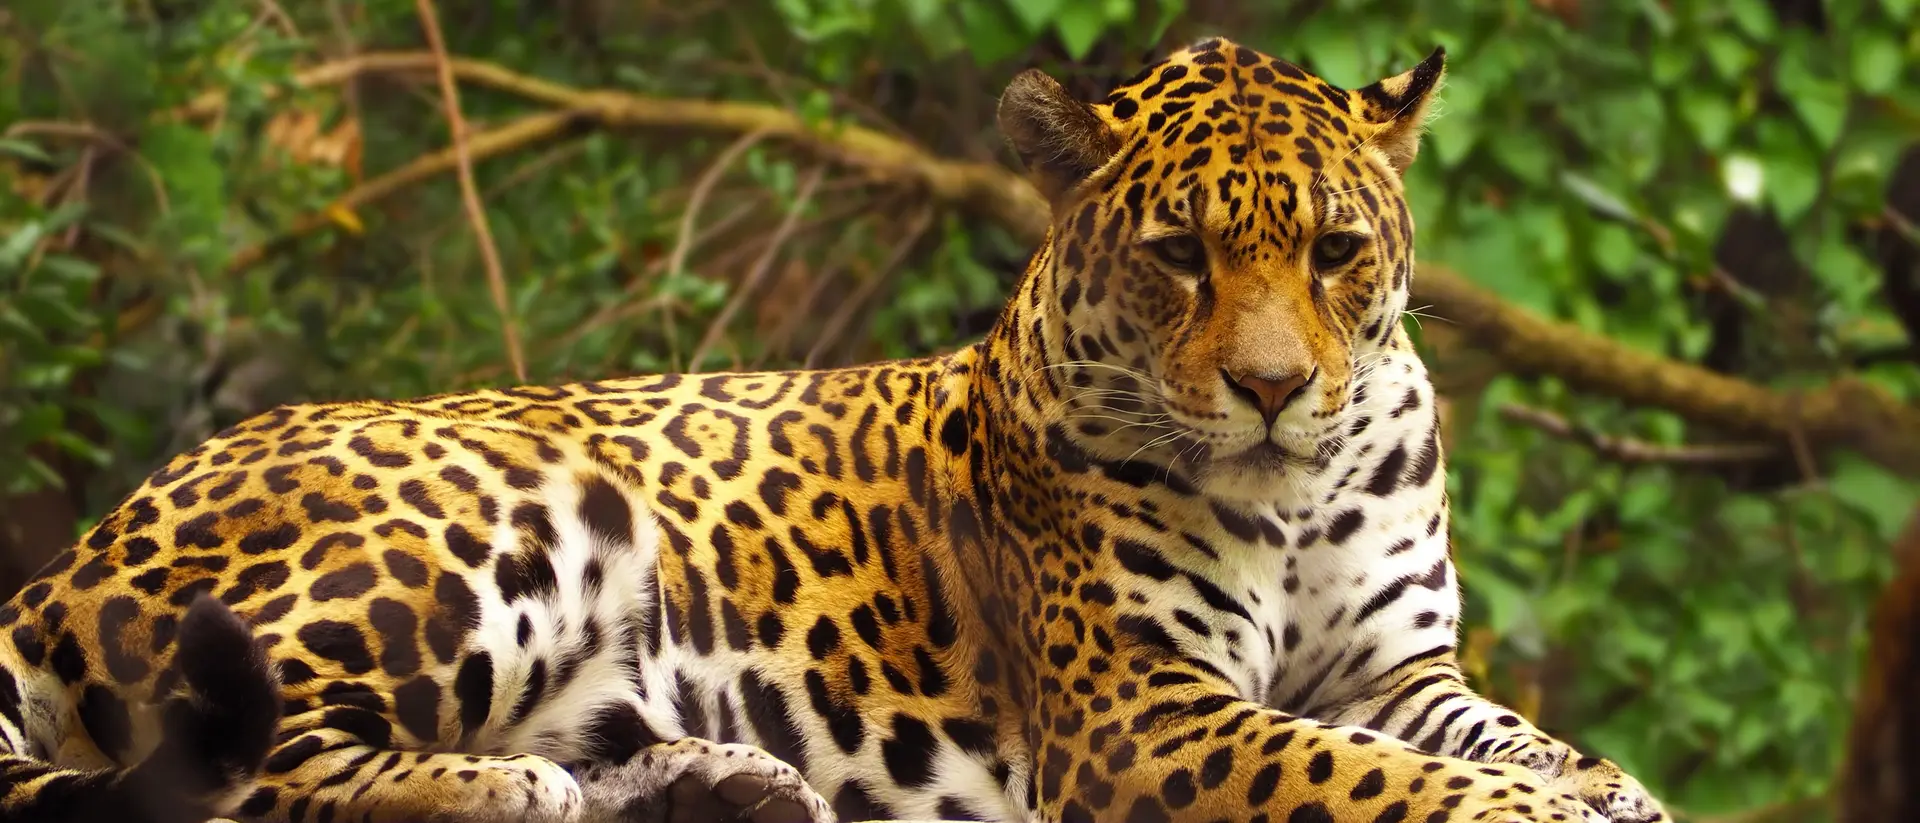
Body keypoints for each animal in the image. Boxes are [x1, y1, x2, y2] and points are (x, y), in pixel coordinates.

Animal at [0, 37, 1670, 823]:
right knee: (236, 759)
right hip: (506, 510)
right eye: (1181, 254)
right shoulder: (1144, 707)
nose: (1272, 387)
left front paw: (1603, 780)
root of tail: (62, 561)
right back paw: (502, 786)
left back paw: (713, 779)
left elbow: (1499, 732)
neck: (1300, 488)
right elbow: (1373, 772)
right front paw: (1541, 800)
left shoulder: (1397, 666)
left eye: (1335, 251)